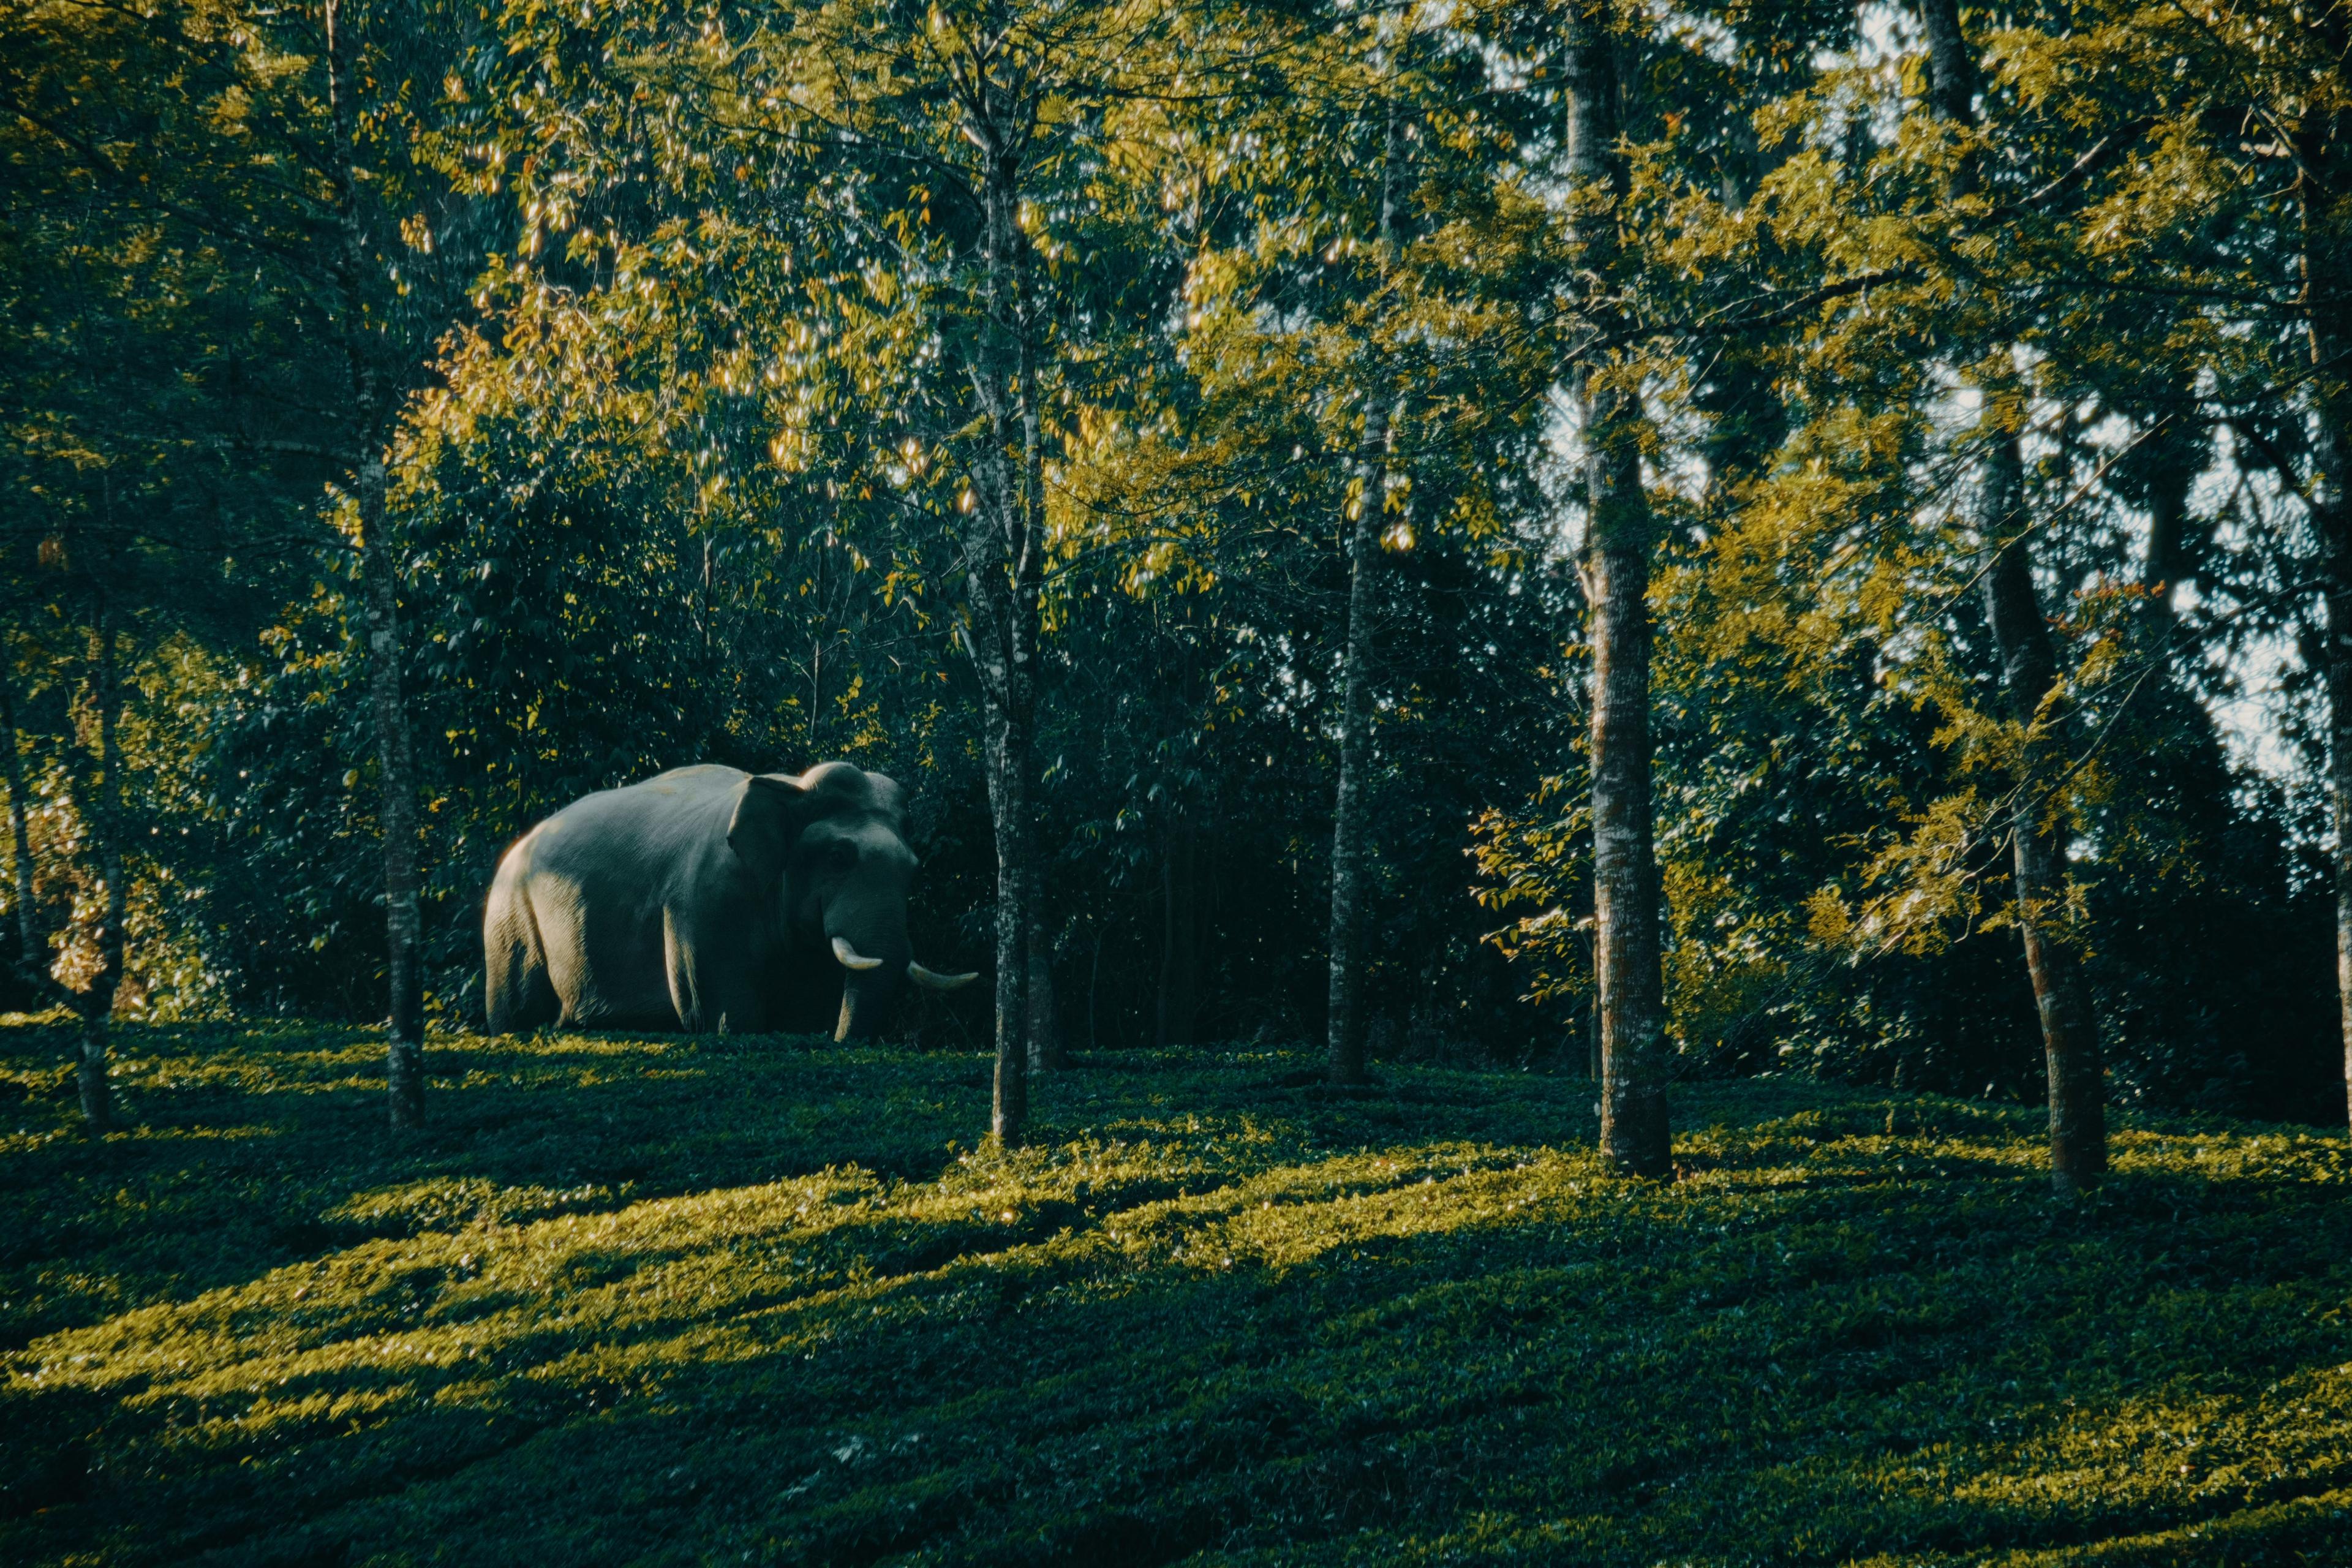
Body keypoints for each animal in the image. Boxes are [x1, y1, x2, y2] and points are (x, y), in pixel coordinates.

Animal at [482, 762, 974, 1038]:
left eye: (913, 868)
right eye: (838, 857)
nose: (841, 1043)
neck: (791, 789)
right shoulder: (703, 902)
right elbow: (726, 1018)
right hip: (510, 921)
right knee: (516, 1012)